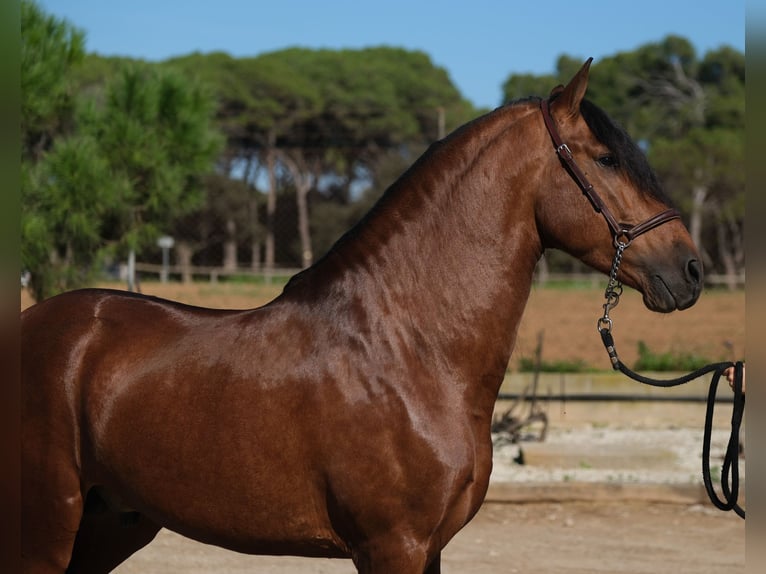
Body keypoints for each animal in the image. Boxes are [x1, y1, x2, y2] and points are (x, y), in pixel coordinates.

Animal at [19, 60, 704, 572]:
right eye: (607, 158)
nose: (691, 270)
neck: (409, 350)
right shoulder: (392, 546)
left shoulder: (428, 549)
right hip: (48, 527)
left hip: (110, 525)